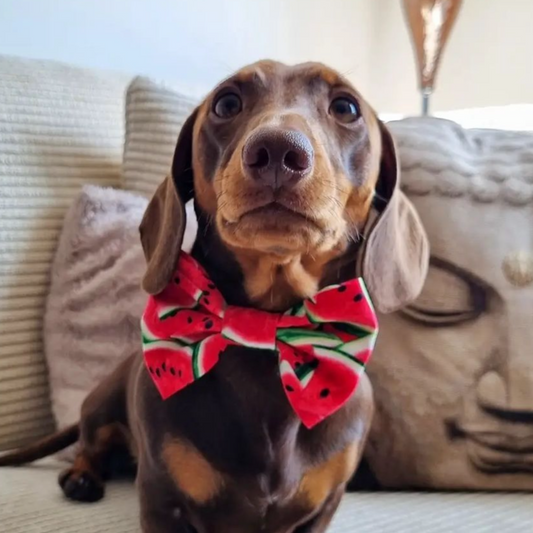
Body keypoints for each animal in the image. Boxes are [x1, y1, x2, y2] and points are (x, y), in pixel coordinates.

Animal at [0, 60, 426, 528]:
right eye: (226, 103)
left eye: (346, 107)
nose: (279, 151)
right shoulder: (161, 500)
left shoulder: (323, 506)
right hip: (100, 406)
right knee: (90, 445)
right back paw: (81, 476)